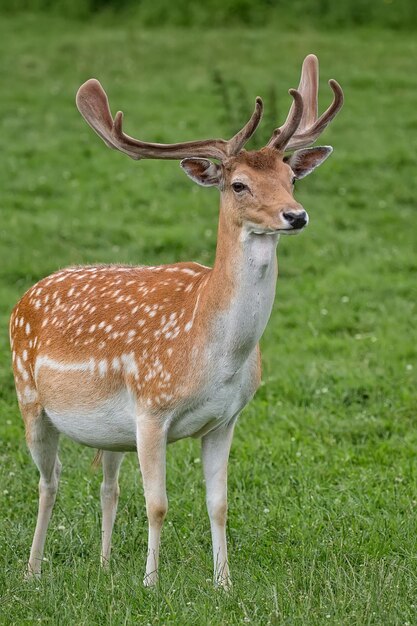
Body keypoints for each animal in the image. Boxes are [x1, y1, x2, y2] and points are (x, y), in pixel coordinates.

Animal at [9, 53, 342, 584]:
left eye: (291, 180)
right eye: (239, 184)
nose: (296, 215)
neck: (213, 353)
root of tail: (26, 295)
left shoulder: (226, 419)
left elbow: (219, 504)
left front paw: (224, 583)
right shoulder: (151, 408)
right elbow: (158, 504)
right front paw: (151, 583)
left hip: (110, 432)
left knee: (107, 483)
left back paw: (104, 566)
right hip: (30, 398)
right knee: (49, 481)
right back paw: (32, 572)